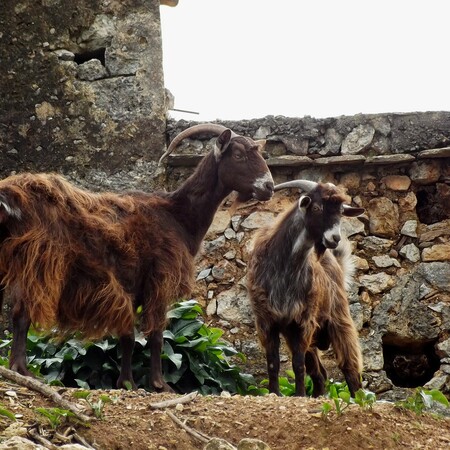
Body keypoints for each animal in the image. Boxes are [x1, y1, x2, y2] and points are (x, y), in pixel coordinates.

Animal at [0, 122, 274, 390]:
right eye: (238, 155)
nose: (269, 187)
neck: (177, 215)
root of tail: (12, 193)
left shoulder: (132, 286)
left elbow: (128, 337)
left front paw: (126, 382)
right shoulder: (160, 279)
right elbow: (156, 335)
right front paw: (160, 384)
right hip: (38, 260)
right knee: (22, 312)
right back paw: (21, 369)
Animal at [246, 179, 366, 398]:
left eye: (340, 212)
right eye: (317, 207)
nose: (335, 238)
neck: (284, 268)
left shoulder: (303, 321)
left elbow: (298, 364)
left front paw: (300, 394)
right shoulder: (267, 321)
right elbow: (273, 363)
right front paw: (274, 392)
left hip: (338, 318)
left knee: (350, 365)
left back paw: (357, 398)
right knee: (320, 372)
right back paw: (319, 395)